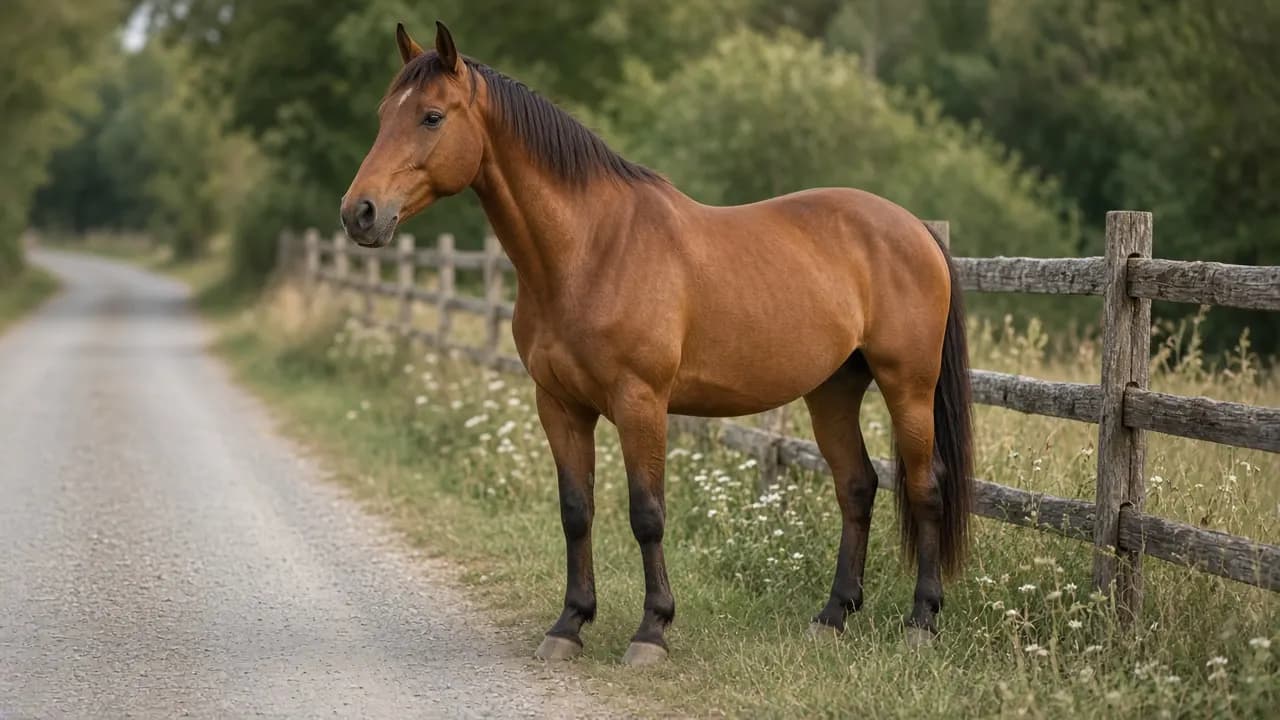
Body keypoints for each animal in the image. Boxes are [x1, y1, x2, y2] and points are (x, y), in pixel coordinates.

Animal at [341, 21, 974, 666]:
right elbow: (576, 511)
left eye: (432, 117)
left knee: (925, 487)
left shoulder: (640, 402)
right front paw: (569, 624)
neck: (591, 250)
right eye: (384, 114)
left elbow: (646, 513)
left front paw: (652, 630)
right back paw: (832, 616)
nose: (359, 213)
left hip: (907, 387)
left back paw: (921, 621)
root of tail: (916, 229)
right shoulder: (559, 405)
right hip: (833, 391)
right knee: (857, 486)